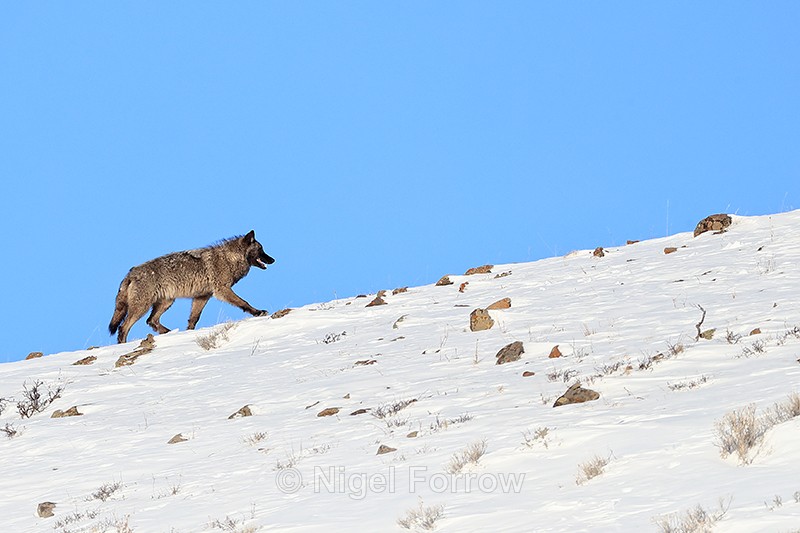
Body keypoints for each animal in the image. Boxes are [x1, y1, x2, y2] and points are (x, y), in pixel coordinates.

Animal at [109, 230, 275, 344]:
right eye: (261, 249)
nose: (273, 259)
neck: (230, 258)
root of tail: (130, 274)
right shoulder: (222, 290)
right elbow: (244, 302)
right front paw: (258, 312)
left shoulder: (202, 297)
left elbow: (194, 319)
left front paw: (188, 333)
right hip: (142, 307)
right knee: (123, 327)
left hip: (166, 302)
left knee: (151, 321)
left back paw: (168, 332)